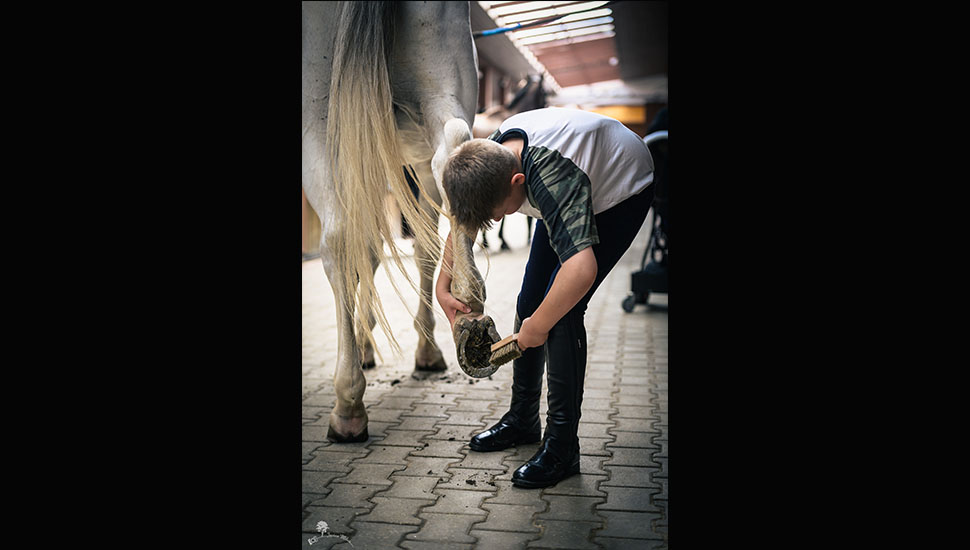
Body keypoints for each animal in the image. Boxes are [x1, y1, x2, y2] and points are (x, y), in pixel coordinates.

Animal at [302, 2, 500, 444]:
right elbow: (393, 249)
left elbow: (375, 250)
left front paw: (367, 343)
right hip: (441, 80)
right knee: (454, 145)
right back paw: (466, 303)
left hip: (318, 118)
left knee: (339, 240)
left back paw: (348, 404)